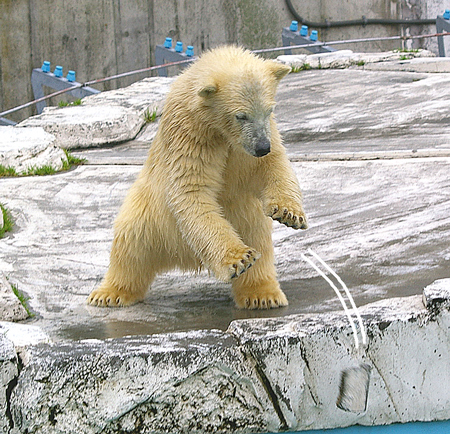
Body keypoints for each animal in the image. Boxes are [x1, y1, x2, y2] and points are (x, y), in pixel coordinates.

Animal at [86, 45, 308, 310]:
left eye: (269, 109)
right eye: (241, 115)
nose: (262, 146)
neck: (217, 128)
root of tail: (183, 257)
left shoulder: (259, 137)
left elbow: (272, 166)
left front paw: (289, 214)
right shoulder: (190, 132)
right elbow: (191, 191)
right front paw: (239, 259)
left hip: (246, 216)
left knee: (260, 243)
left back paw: (262, 295)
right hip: (148, 213)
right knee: (130, 244)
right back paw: (109, 294)